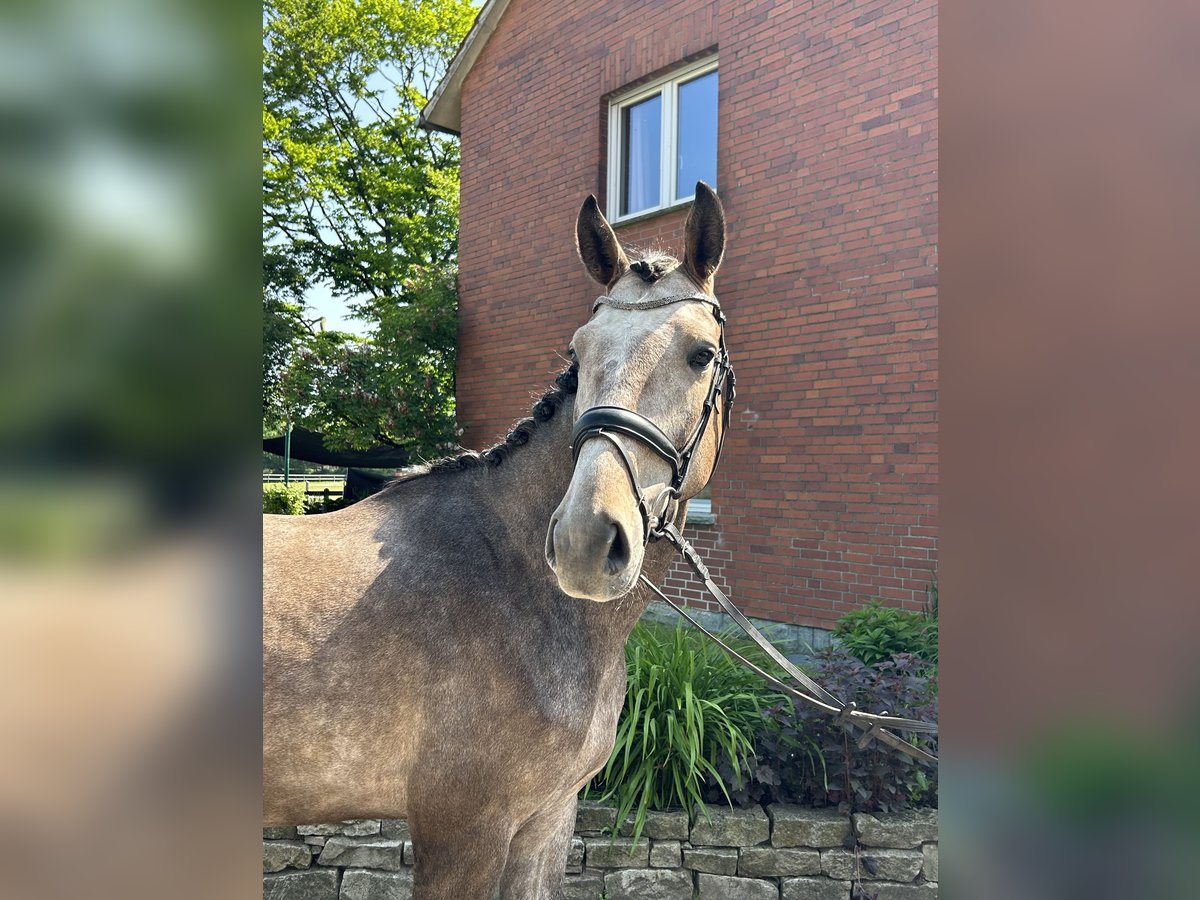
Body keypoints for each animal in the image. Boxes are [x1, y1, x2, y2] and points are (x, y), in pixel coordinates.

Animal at [265, 180, 729, 897]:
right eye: (577, 355)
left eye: (701, 354)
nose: (585, 542)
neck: (509, 583)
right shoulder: (465, 832)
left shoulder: (546, 819)